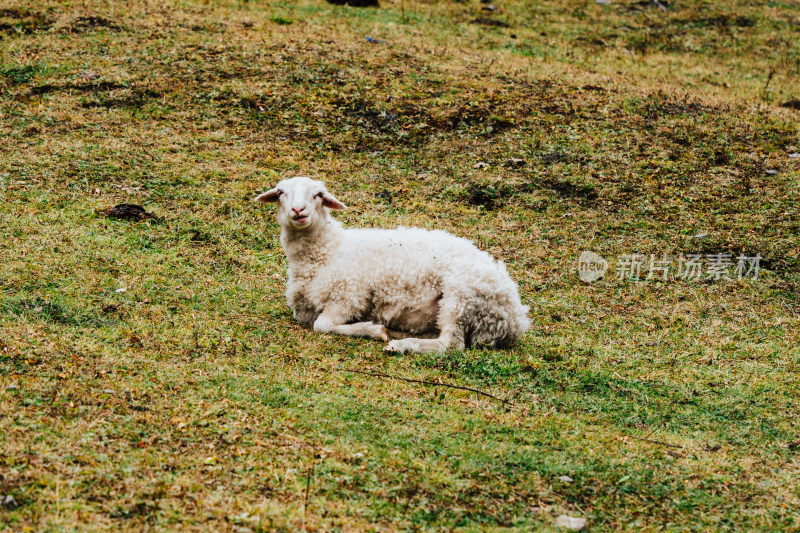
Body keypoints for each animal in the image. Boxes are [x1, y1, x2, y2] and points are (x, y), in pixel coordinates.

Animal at [256, 177, 532, 354]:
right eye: (280, 192)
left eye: (319, 195)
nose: (298, 210)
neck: (328, 250)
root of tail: (515, 318)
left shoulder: (349, 296)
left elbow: (321, 325)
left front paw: (372, 330)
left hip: (461, 297)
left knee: (450, 345)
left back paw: (401, 345)